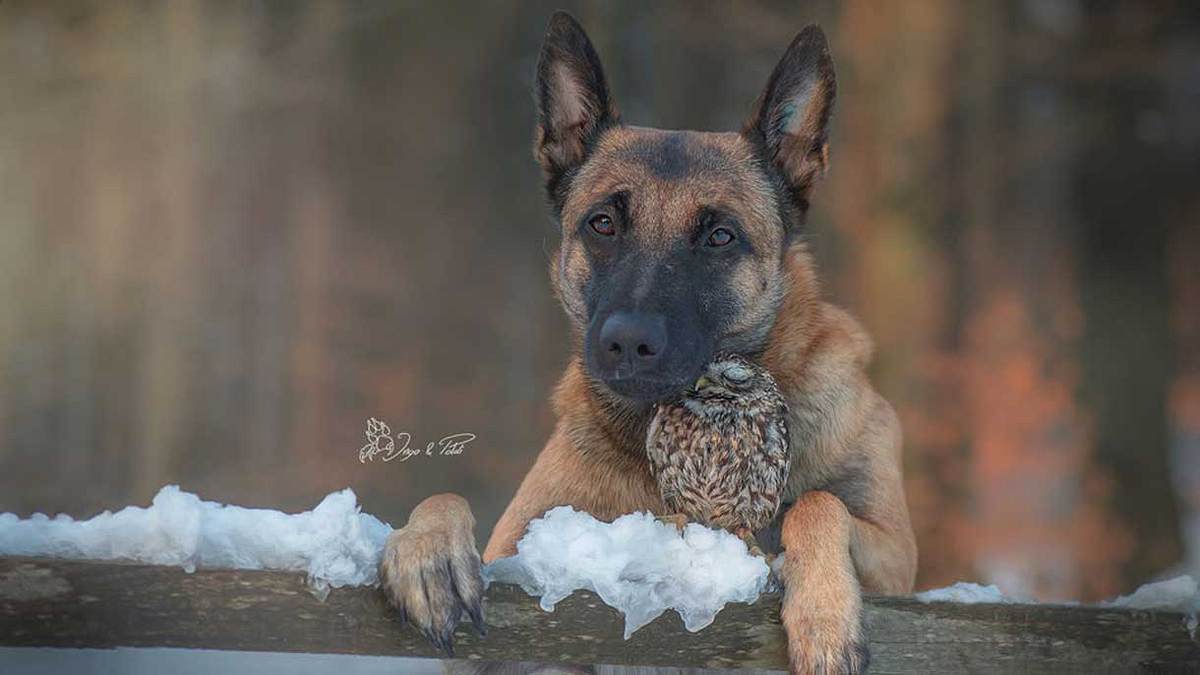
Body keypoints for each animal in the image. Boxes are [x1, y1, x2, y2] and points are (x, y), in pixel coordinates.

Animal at [384, 11, 916, 672]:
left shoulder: (898, 560)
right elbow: (447, 497)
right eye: (602, 223)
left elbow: (820, 503)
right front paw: (424, 549)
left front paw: (824, 616)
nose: (628, 343)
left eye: (719, 236)